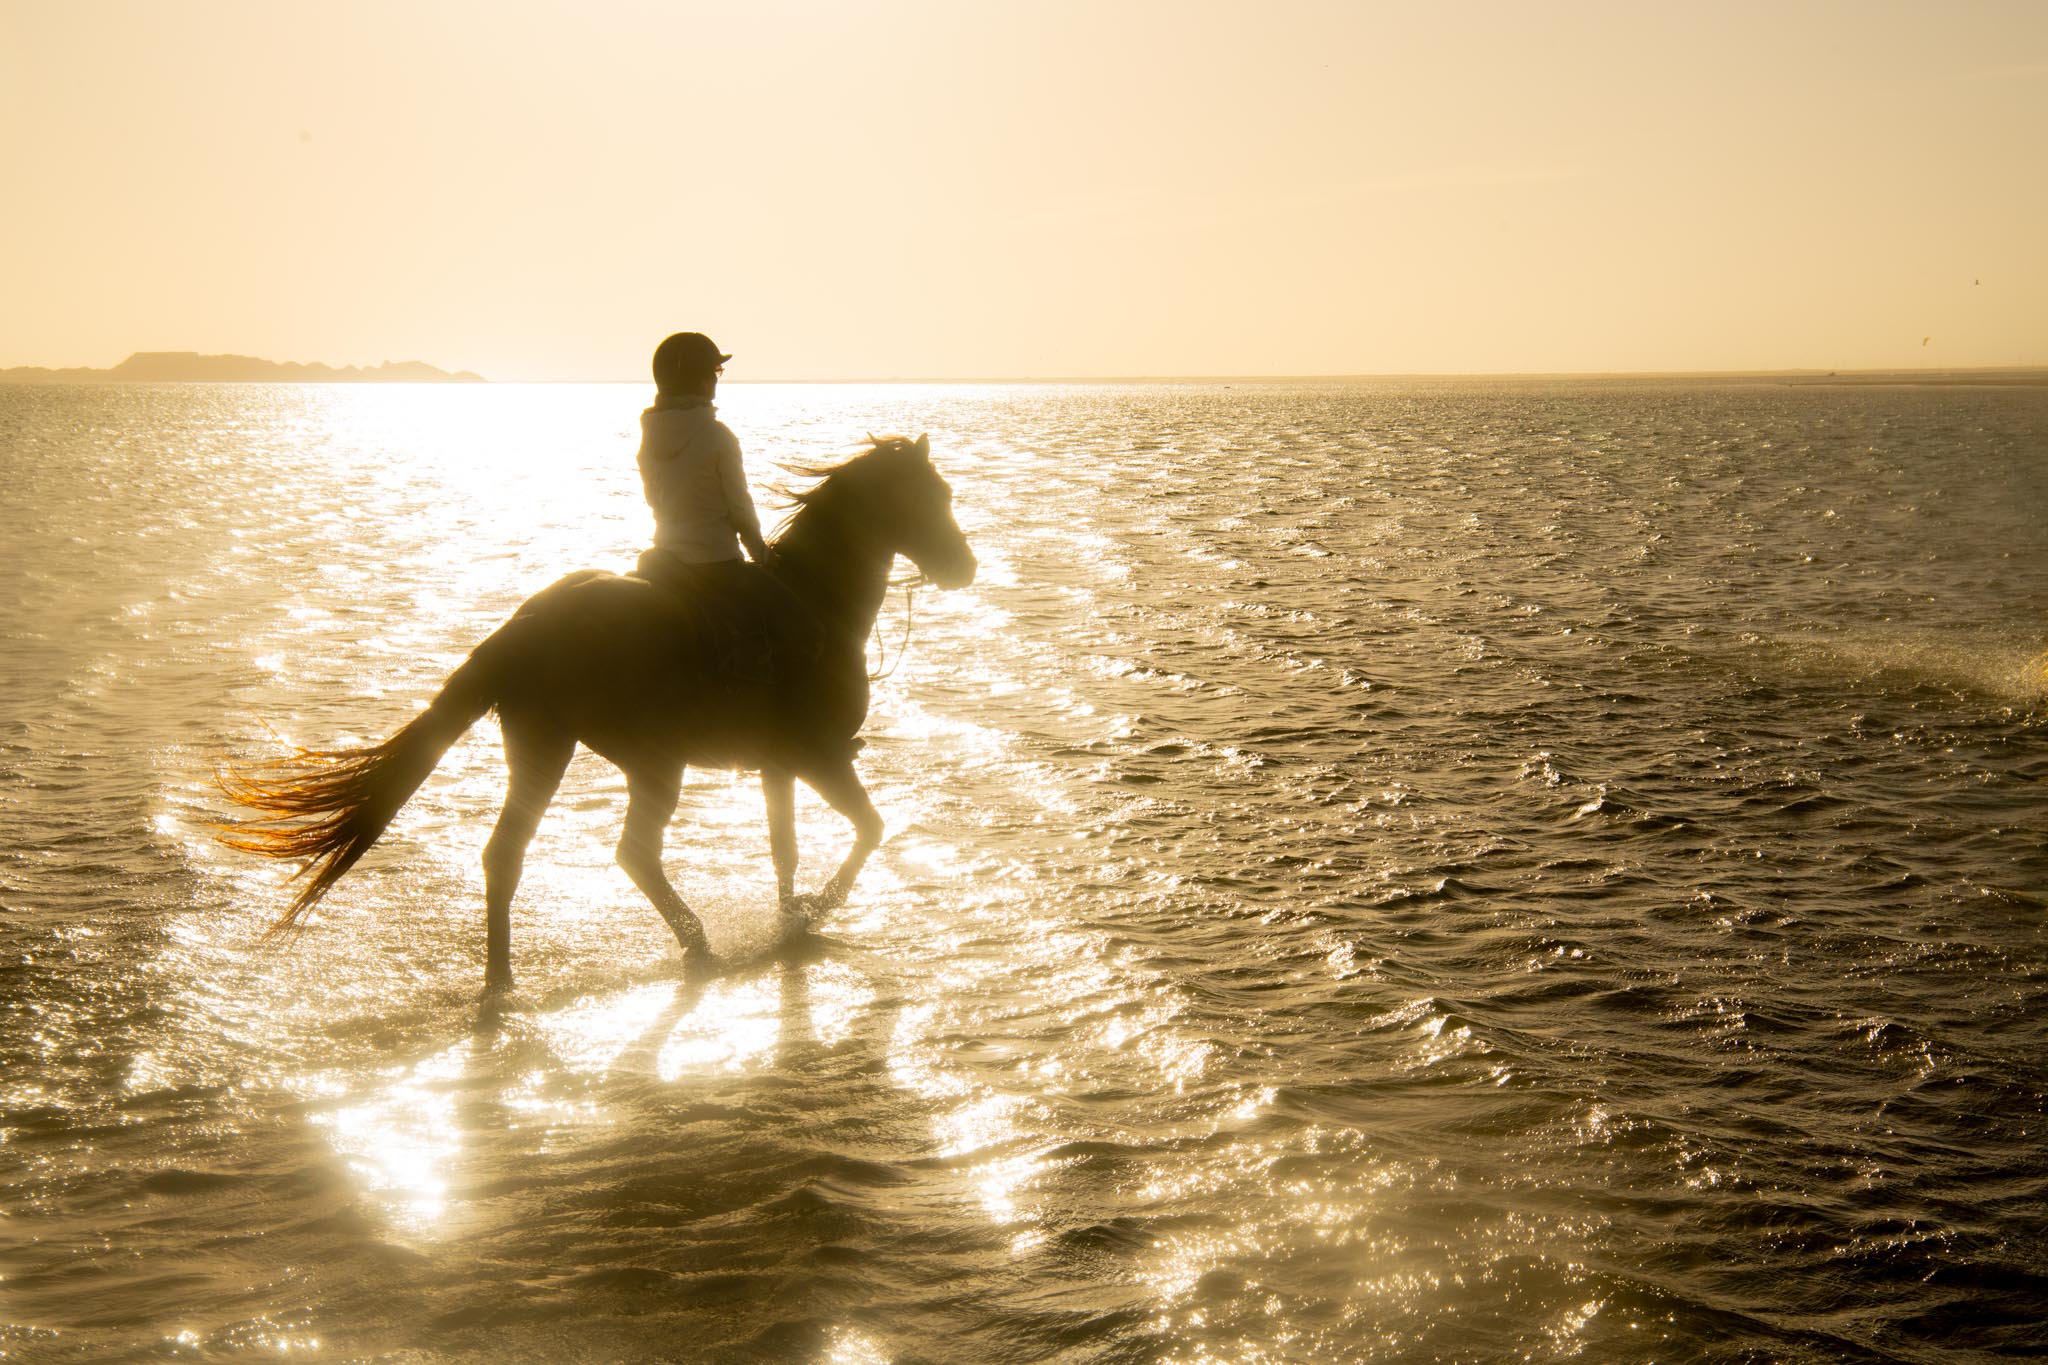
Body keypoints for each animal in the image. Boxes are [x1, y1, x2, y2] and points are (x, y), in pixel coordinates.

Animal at [217, 434, 975, 990]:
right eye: (929, 495)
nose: (963, 567)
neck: (818, 597)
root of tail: (523, 626)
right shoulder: (817, 757)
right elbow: (868, 830)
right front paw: (817, 911)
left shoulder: (778, 765)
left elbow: (783, 846)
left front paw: (795, 919)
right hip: (652, 761)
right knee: (632, 851)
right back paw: (696, 947)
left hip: (544, 747)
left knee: (509, 855)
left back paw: (503, 979)